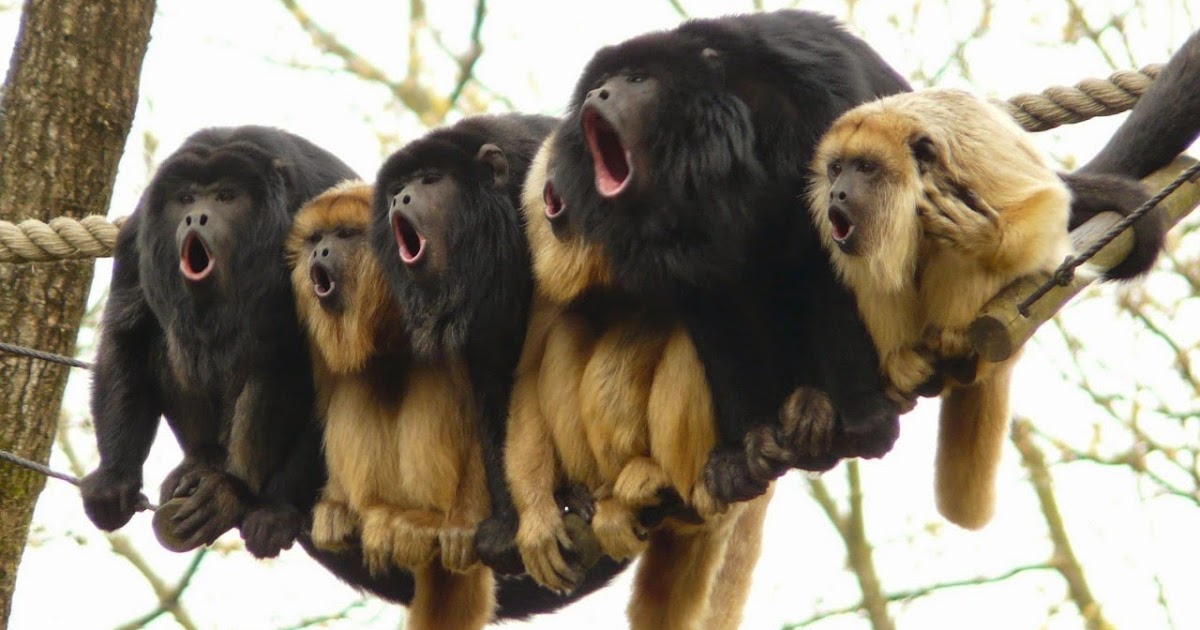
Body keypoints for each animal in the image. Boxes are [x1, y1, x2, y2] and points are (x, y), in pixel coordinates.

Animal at [288, 181, 494, 630]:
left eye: (344, 235)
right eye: (316, 238)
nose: (319, 253)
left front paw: (465, 525)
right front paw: (335, 503)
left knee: (433, 375)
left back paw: (426, 521)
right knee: (360, 380)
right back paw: (365, 512)